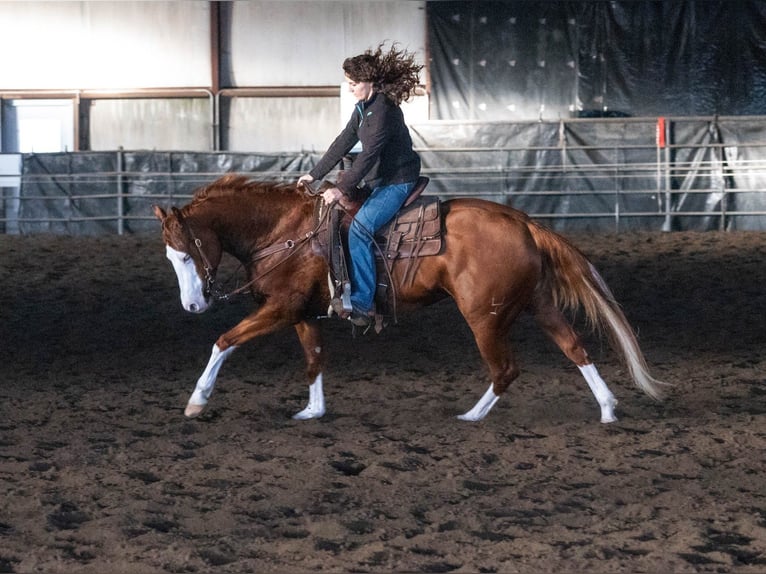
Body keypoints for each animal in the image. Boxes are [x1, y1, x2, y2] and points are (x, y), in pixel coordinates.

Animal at [153, 174, 664, 423]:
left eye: (186, 253)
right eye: (169, 257)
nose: (192, 306)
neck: (284, 232)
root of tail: (522, 222)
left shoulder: (279, 309)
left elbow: (224, 340)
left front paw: (197, 401)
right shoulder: (299, 311)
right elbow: (314, 360)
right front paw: (313, 411)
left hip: (484, 316)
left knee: (505, 369)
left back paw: (471, 417)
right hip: (537, 303)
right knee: (574, 347)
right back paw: (608, 409)